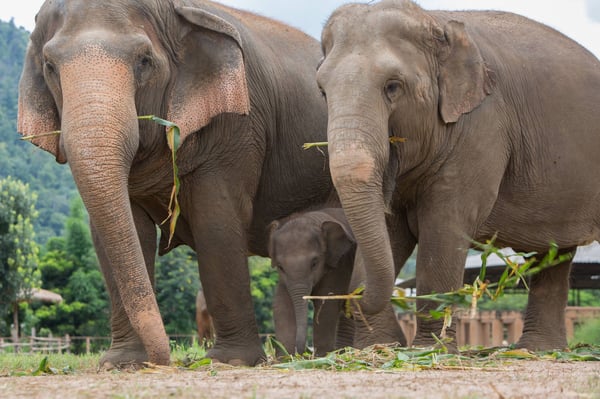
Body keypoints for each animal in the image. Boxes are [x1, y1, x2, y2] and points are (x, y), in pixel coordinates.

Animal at [18, 0, 330, 368]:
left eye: (144, 61)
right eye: (50, 66)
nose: (163, 358)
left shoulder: (239, 125)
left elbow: (216, 220)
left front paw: (228, 361)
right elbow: (119, 233)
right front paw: (122, 363)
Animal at [268, 208, 356, 358]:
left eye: (314, 263)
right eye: (280, 267)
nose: (302, 353)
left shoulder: (338, 265)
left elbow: (326, 304)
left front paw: (321, 356)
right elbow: (282, 304)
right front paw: (286, 358)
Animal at [316, 0, 600, 350]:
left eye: (393, 86)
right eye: (322, 91)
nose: (353, 296)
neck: (434, 20)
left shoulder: (483, 125)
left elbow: (445, 224)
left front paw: (427, 349)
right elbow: (390, 227)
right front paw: (379, 347)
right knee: (555, 253)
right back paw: (536, 349)